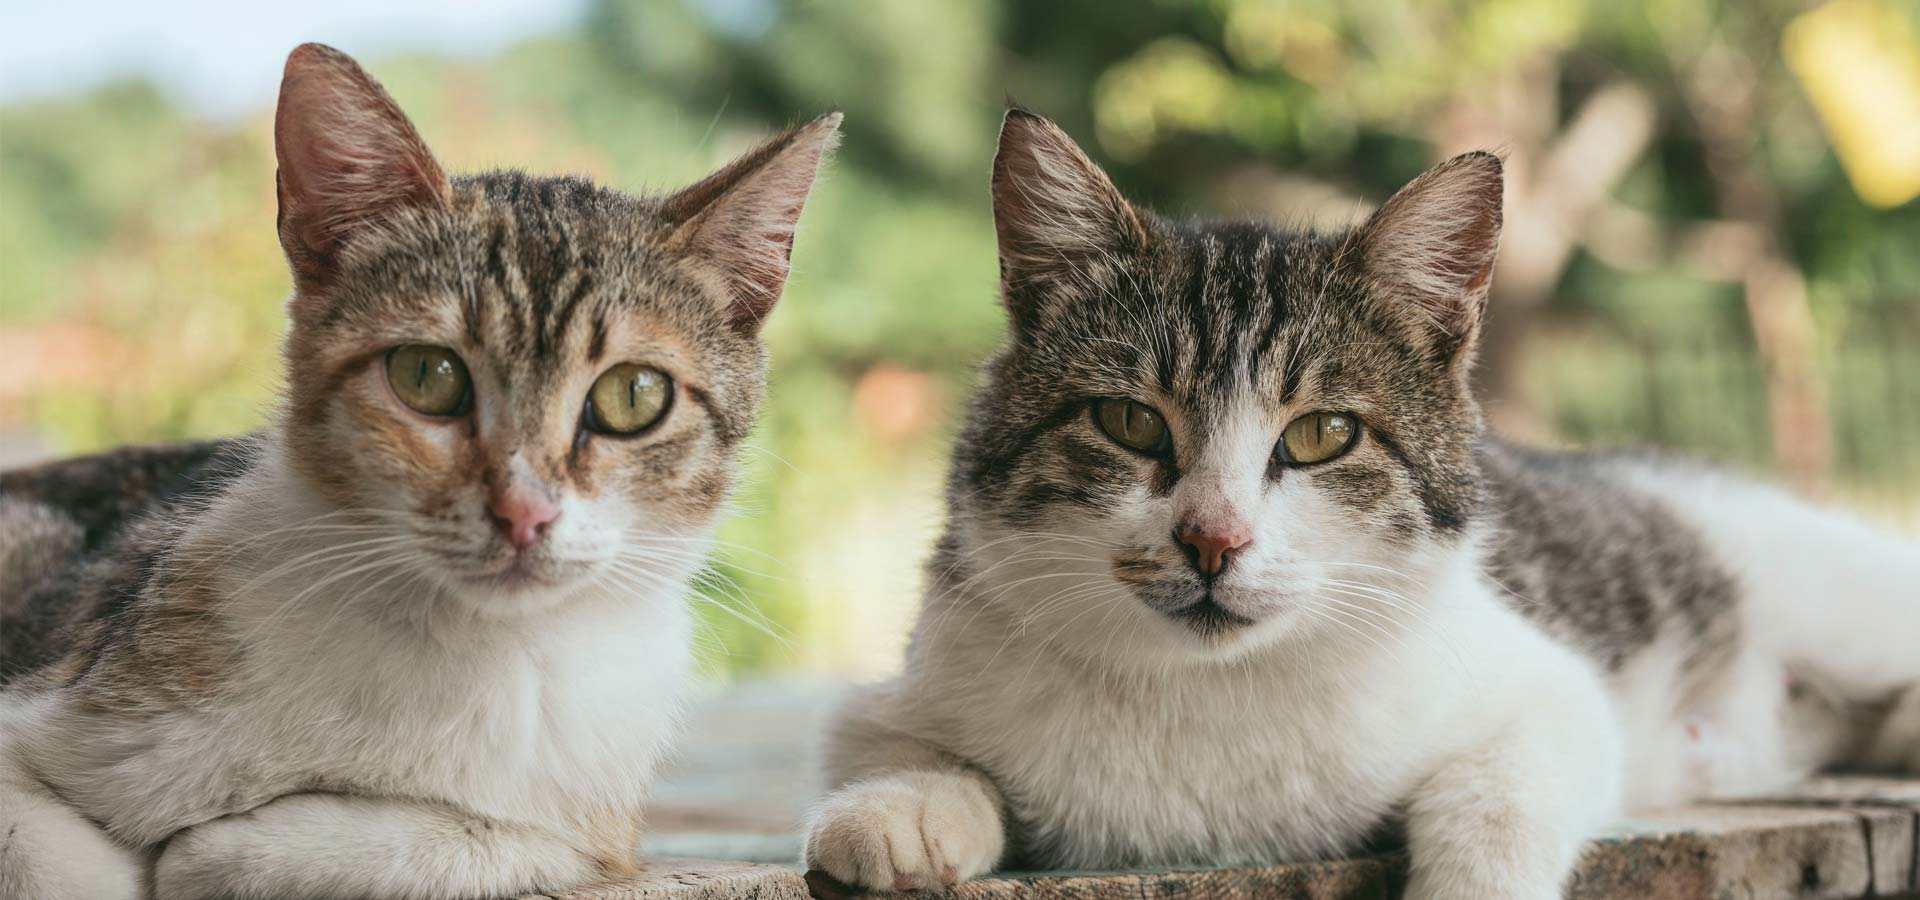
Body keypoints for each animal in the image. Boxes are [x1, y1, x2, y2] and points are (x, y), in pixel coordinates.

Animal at [1, 43, 840, 898]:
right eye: (427, 376)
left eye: (632, 395)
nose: (524, 511)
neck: (462, 648)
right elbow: (57, 858)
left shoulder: (592, 831)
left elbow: (462, 843)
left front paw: (225, 849)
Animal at [798, 112, 1920, 898]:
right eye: (1127, 421)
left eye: (1322, 435)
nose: (1212, 539)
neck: (1211, 696)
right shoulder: (912, 677)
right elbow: (898, 749)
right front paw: (900, 811)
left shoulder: (1552, 692)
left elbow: (1500, 795)